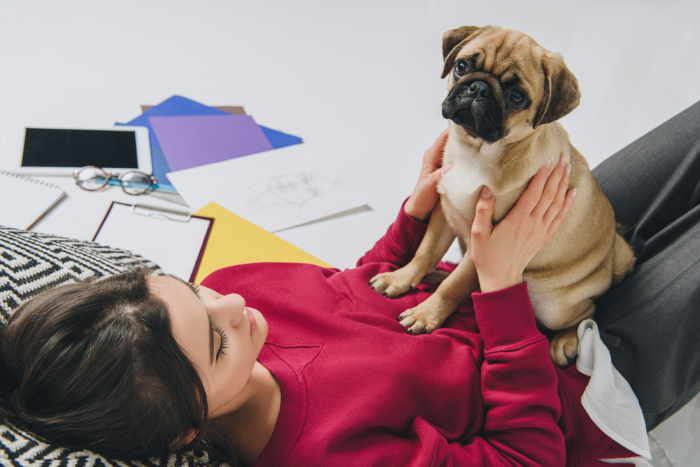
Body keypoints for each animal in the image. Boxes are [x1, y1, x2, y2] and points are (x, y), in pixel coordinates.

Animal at [370, 25, 636, 366]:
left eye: (516, 97)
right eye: (462, 66)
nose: (478, 88)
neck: (477, 151)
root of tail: (611, 262)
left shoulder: (484, 241)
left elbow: (456, 285)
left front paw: (427, 313)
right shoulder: (445, 211)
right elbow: (425, 251)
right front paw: (401, 278)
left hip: (554, 306)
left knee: (588, 314)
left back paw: (565, 340)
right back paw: (434, 276)